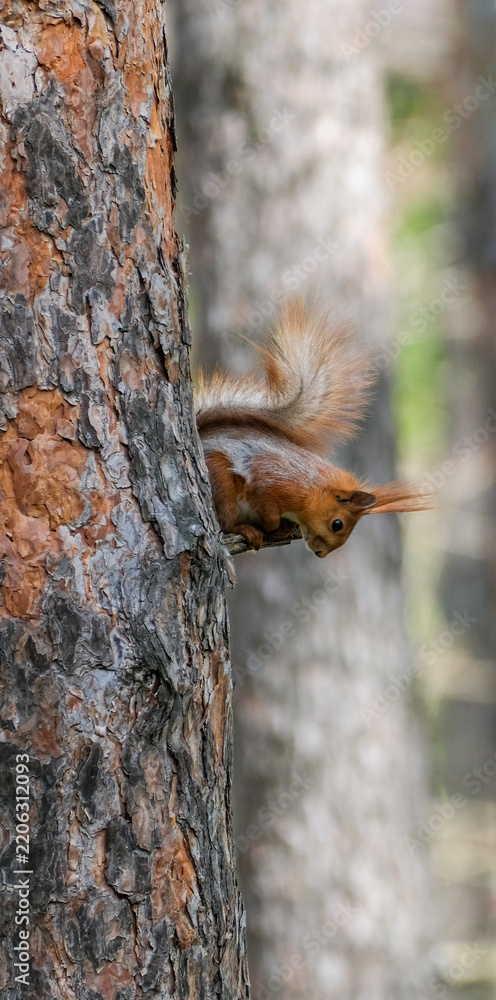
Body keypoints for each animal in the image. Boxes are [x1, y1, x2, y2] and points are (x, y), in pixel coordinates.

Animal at [195, 299, 432, 557]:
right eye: (337, 524)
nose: (321, 554)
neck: (313, 488)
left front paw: (284, 528)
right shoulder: (273, 480)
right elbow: (265, 505)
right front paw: (272, 525)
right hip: (220, 480)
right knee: (226, 520)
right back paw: (245, 529)